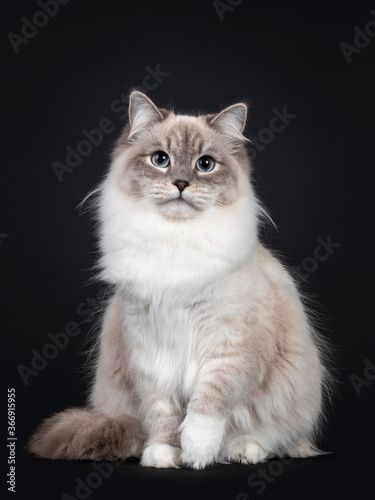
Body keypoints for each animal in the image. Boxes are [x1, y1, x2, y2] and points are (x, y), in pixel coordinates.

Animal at [27, 89, 332, 468]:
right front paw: (165, 454)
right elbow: (163, 413)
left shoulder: (228, 349)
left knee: (279, 439)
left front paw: (197, 452)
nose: (181, 183)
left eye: (205, 164)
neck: (175, 240)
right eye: (161, 160)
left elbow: (208, 404)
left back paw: (243, 450)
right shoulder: (151, 352)